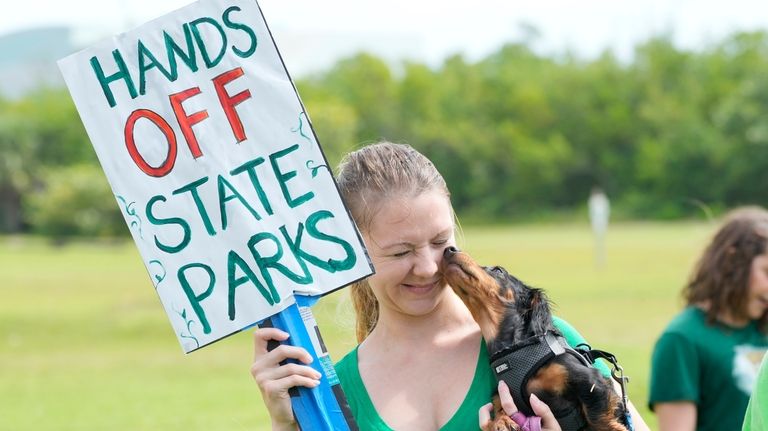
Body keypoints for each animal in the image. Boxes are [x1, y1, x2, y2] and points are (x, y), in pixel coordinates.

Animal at [440, 246, 628, 431]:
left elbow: (598, 419)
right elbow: (499, 409)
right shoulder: (501, 394)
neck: (515, 349)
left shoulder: (589, 380)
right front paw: (502, 421)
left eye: (499, 270)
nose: (449, 249)